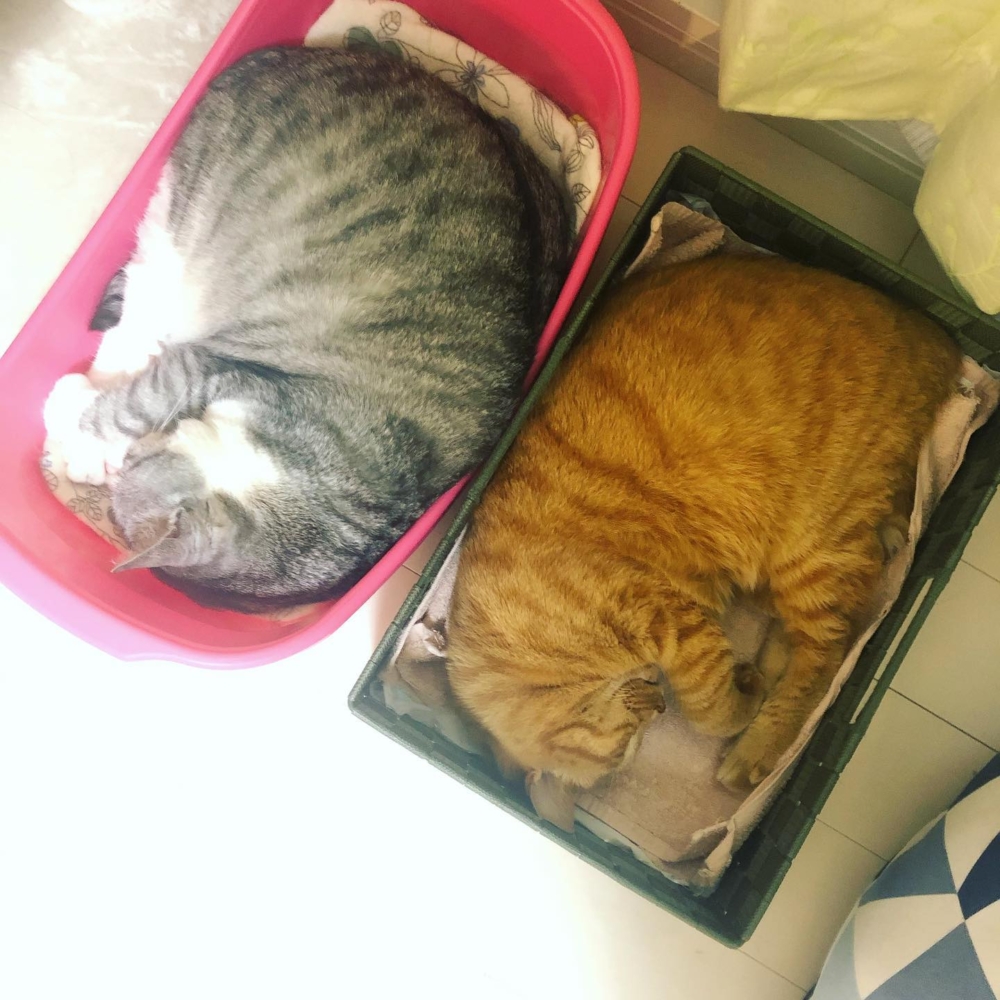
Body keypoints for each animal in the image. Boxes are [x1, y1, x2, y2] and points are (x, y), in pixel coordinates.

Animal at [42, 45, 573, 614]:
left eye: (139, 467)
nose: (127, 463)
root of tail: (280, 55)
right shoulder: (221, 369)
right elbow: (136, 403)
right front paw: (86, 422)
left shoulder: (215, 368)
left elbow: (133, 403)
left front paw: (83, 425)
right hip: (186, 223)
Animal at [445, 254, 962, 821]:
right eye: (630, 748)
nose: (657, 702)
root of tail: (929, 332)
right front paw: (747, 678)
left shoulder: (671, 619)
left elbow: (710, 708)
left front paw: (739, 705)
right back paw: (770, 657)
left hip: (815, 542)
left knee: (828, 654)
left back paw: (759, 747)